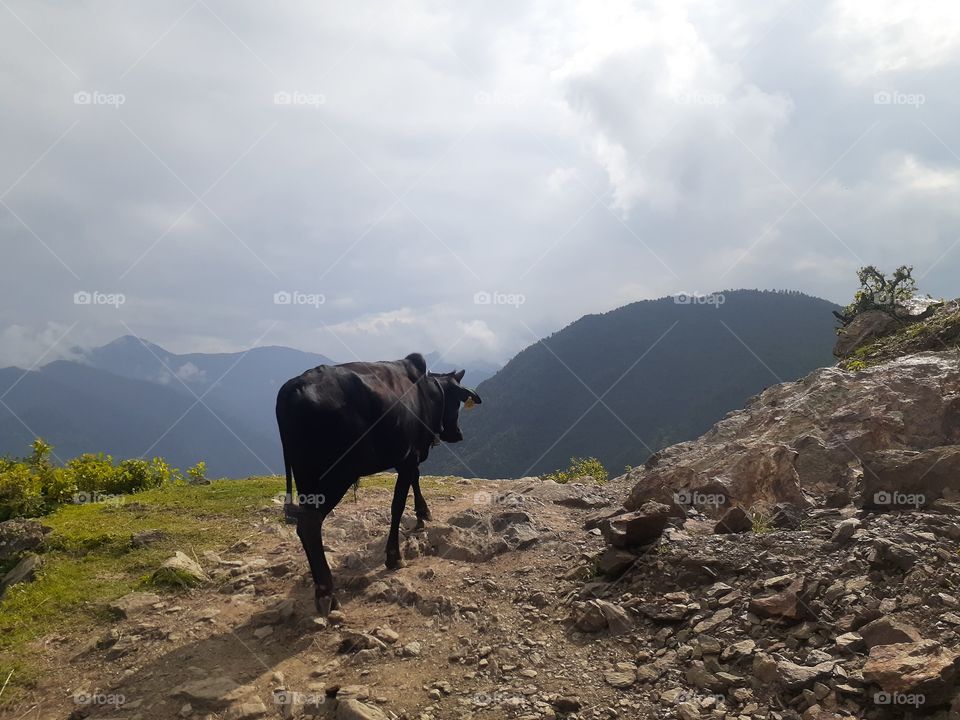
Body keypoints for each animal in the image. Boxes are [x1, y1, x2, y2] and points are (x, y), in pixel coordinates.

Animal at [275, 352, 482, 615]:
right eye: (456, 402)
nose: (458, 433)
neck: (427, 393)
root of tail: (292, 388)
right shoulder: (408, 457)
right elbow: (397, 505)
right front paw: (394, 555)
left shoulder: (409, 457)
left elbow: (415, 481)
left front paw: (422, 513)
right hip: (333, 477)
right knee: (310, 525)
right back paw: (326, 592)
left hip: (306, 481)